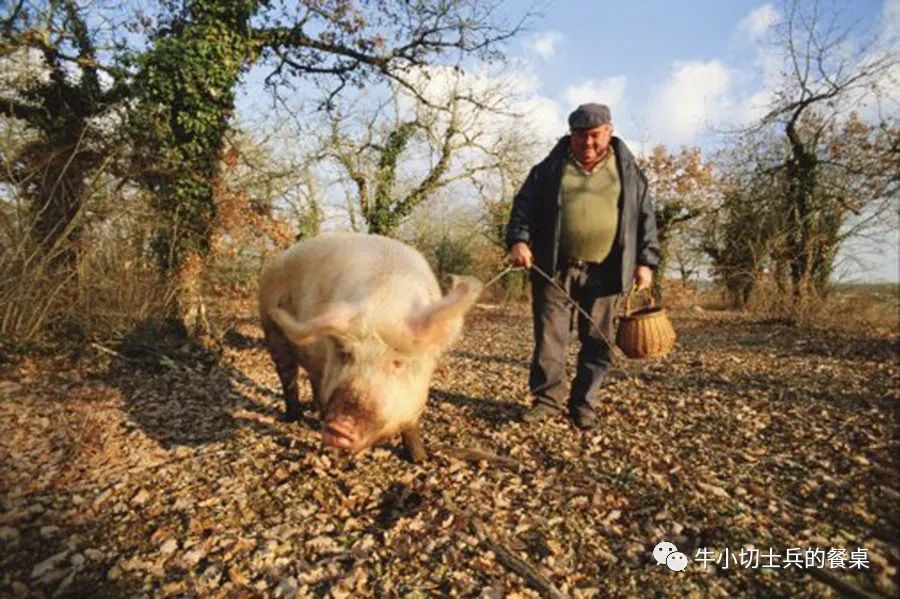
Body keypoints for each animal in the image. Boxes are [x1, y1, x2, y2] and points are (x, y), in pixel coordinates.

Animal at [256, 232, 482, 462]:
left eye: (398, 363)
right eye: (347, 355)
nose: (339, 427)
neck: (386, 304)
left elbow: (411, 425)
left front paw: (420, 459)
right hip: (272, 332)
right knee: (288, 377)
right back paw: (295, 417)